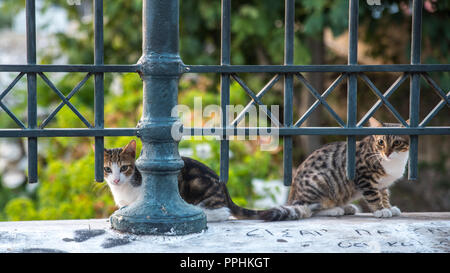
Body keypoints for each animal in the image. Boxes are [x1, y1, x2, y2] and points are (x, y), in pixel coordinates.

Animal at [260, 118, 412, 220]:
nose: (387, 153)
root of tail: (292, 196)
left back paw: (346, 207)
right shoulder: (363, 176)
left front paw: (388, 207)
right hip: (320, 181)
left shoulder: (382, 183)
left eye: (396, 142)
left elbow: (384, 194)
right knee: (309, 209)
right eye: (381, 142)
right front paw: (380, 210)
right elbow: (373, 195)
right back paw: (335, 210)